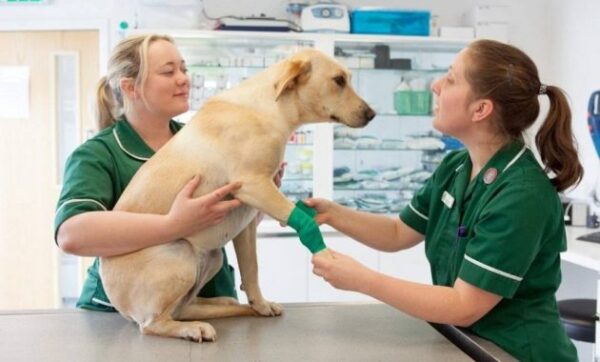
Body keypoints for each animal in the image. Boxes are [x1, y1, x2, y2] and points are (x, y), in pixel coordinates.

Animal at [102, 48, 376, 342]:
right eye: (339, 80)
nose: (372, 113)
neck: (269, 109)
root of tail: (122, 307)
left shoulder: (247, 221)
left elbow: (251, 268)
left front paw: (260, 304)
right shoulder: (255, 186)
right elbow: (305, 222)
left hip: (212, 258)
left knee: (184, 307)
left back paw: (228, 305)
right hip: (180, 254)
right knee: (154, 323)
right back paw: (193, 327)